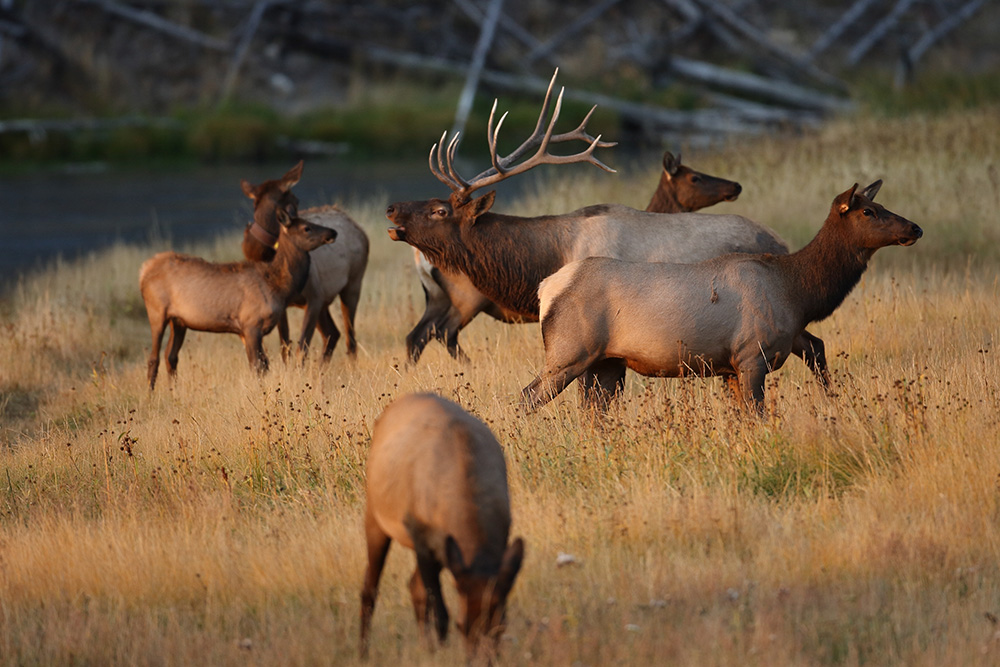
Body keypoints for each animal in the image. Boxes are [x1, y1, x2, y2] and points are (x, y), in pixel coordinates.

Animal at [139, 208, 336, 390]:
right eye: (306, 228)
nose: (332, 232)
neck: (279, 287)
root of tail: (143, 271)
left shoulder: (245, 330)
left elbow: (264, 365)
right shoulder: (251, 324)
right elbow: (257, 366)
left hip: (179, 321)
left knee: (170, 356)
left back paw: (174, 392)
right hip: (156, 311)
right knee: (154, 358)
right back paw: (151, 397)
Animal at [241, 162, 369, 362]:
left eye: (297, 200)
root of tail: (361, 230)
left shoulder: (314, 296)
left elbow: (302, 347)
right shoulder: (281, 305)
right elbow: (285, 346)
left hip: (353, 284)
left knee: (350, 338)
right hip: (326, 300)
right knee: (333, 333)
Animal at [360, 393, 525, 661]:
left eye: (501, 625)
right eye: (462, 625)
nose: (482, 661)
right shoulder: (421, 539)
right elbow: (441, 613)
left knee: (413, 586)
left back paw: (425, 647)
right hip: (376, 518)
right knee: (370, 588)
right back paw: (363, 652)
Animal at [404, 149, 743, 364]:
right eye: (694, 178)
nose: (736, 185)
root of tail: (418, 258)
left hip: (439, 299)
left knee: (416, 336)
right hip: (465, 300)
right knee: (443, 333)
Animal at [521, 181, 923, 412]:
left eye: (882, 206)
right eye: (869, 211)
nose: (915, 227)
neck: (797, 291)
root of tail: (546, 289)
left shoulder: (730, 368)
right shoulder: (751, 356)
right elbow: (756, 417)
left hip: (606, 363)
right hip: (568, 351)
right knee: (527, 397)